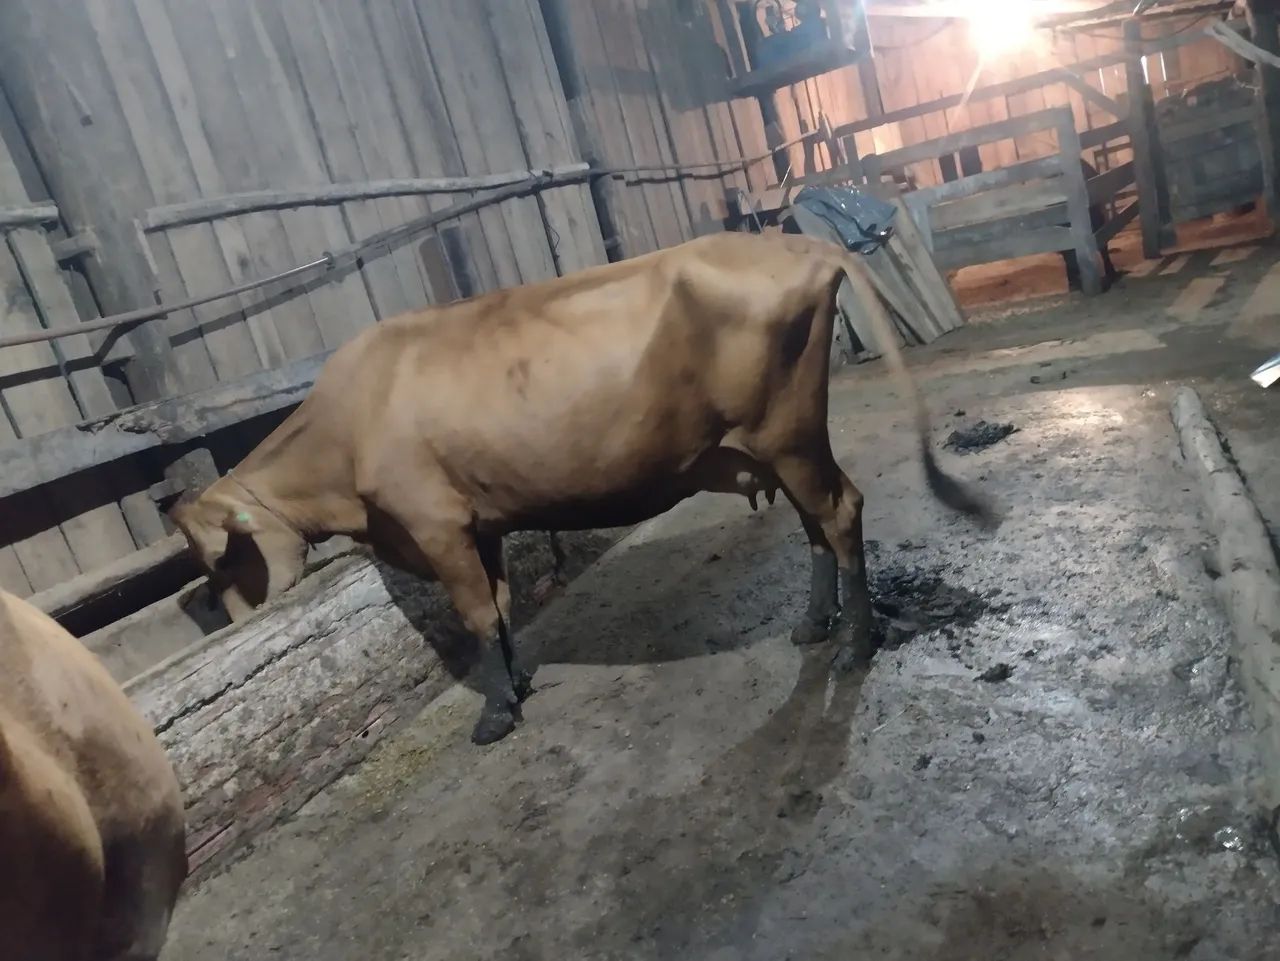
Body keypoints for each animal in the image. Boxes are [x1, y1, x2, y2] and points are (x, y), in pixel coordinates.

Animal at [171, 230, 996, 746]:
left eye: (222, 558)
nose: (227, 618)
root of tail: (797, 241)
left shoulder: (435, 522)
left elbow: (475, 613)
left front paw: (495, 712)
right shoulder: (478, 521)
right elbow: (501, 605)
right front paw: (517, 680)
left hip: (787, 433)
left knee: (840, 511)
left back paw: (856, 642)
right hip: (779, 441)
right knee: (816, 522)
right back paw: (814, 625)